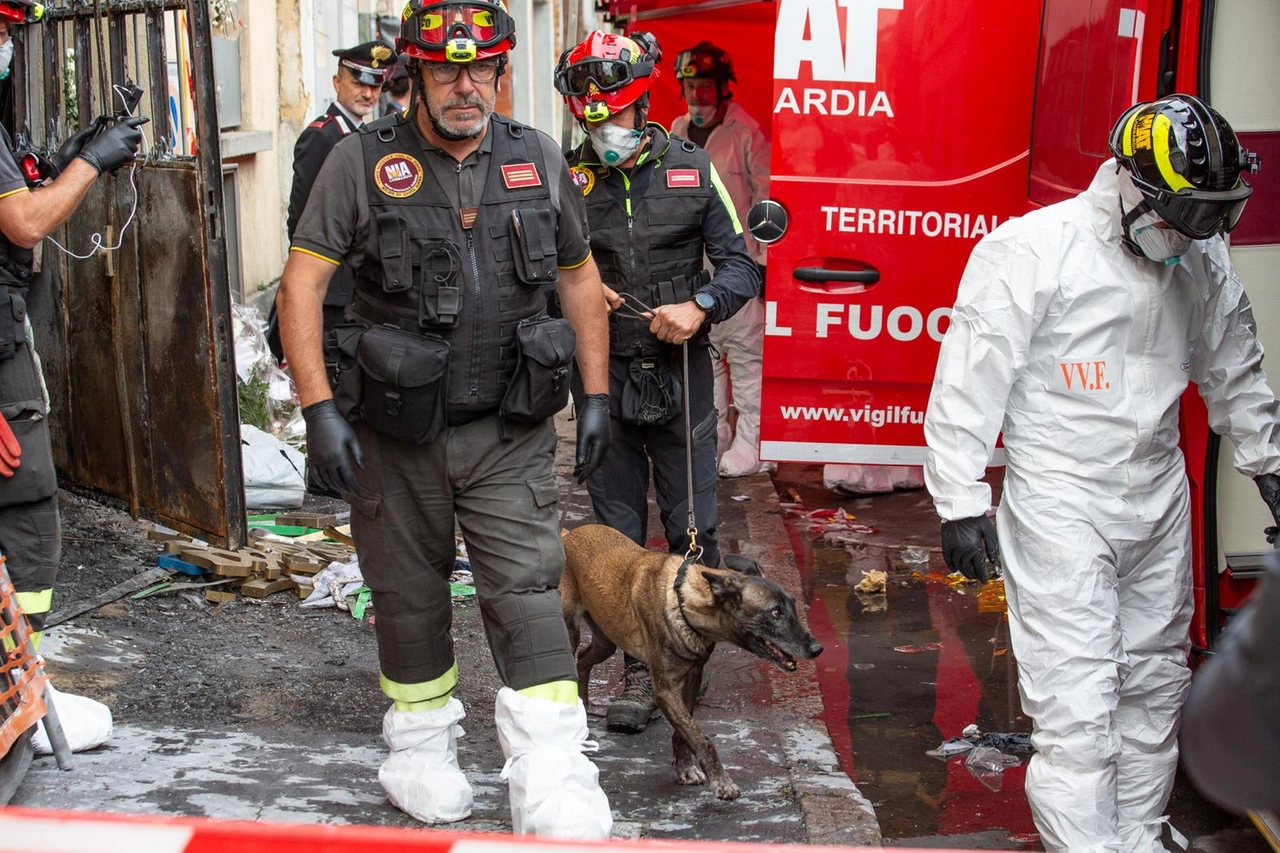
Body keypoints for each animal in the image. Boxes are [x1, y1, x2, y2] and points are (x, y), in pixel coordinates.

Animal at [558, 522, 819, 794]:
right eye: (775, 612)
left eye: (793, 605)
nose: (817, 648)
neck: (685, 602)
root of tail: (570, 534)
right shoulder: (665, 690)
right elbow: (699, 737)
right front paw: (721, 781)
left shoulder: (693, 676)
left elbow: (685, 731)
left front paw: (685, 767)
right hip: (571, 629)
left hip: (606, 638)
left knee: (583, 661)